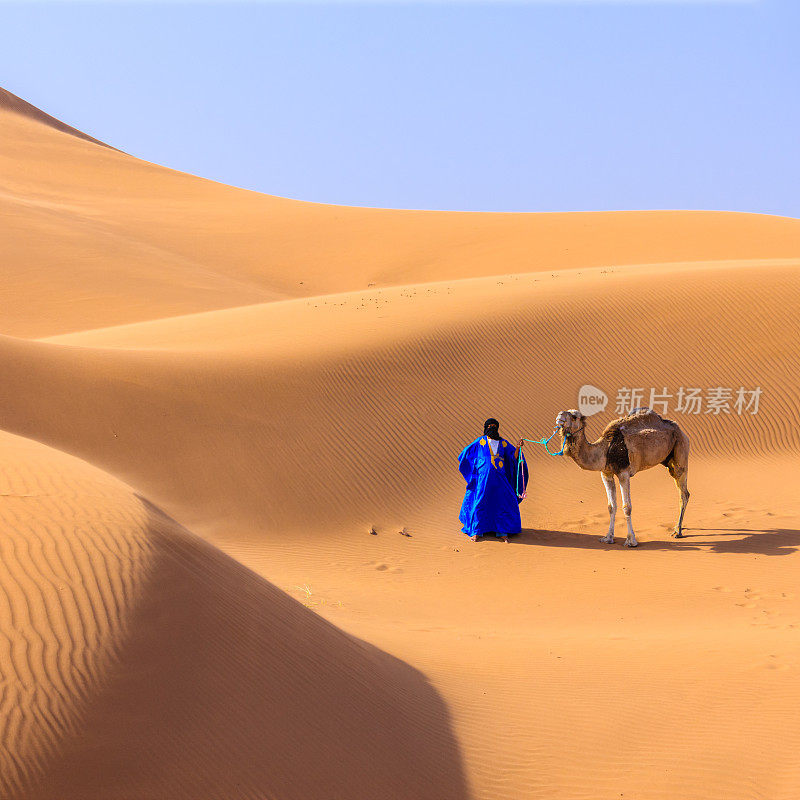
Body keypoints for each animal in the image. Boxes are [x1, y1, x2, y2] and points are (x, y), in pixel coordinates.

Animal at [552, 410, 692, 548]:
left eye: (574, 416)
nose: (559, 418)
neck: (605, 450)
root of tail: (681, 431)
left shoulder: (623, 472)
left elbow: (627, 507)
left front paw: (631, 540)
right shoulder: (606, 473)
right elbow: (611, 506)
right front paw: (608, 538)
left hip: (681, 450)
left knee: (684, 493)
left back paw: (678, 531)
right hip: (668, 461)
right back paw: (677, 528)